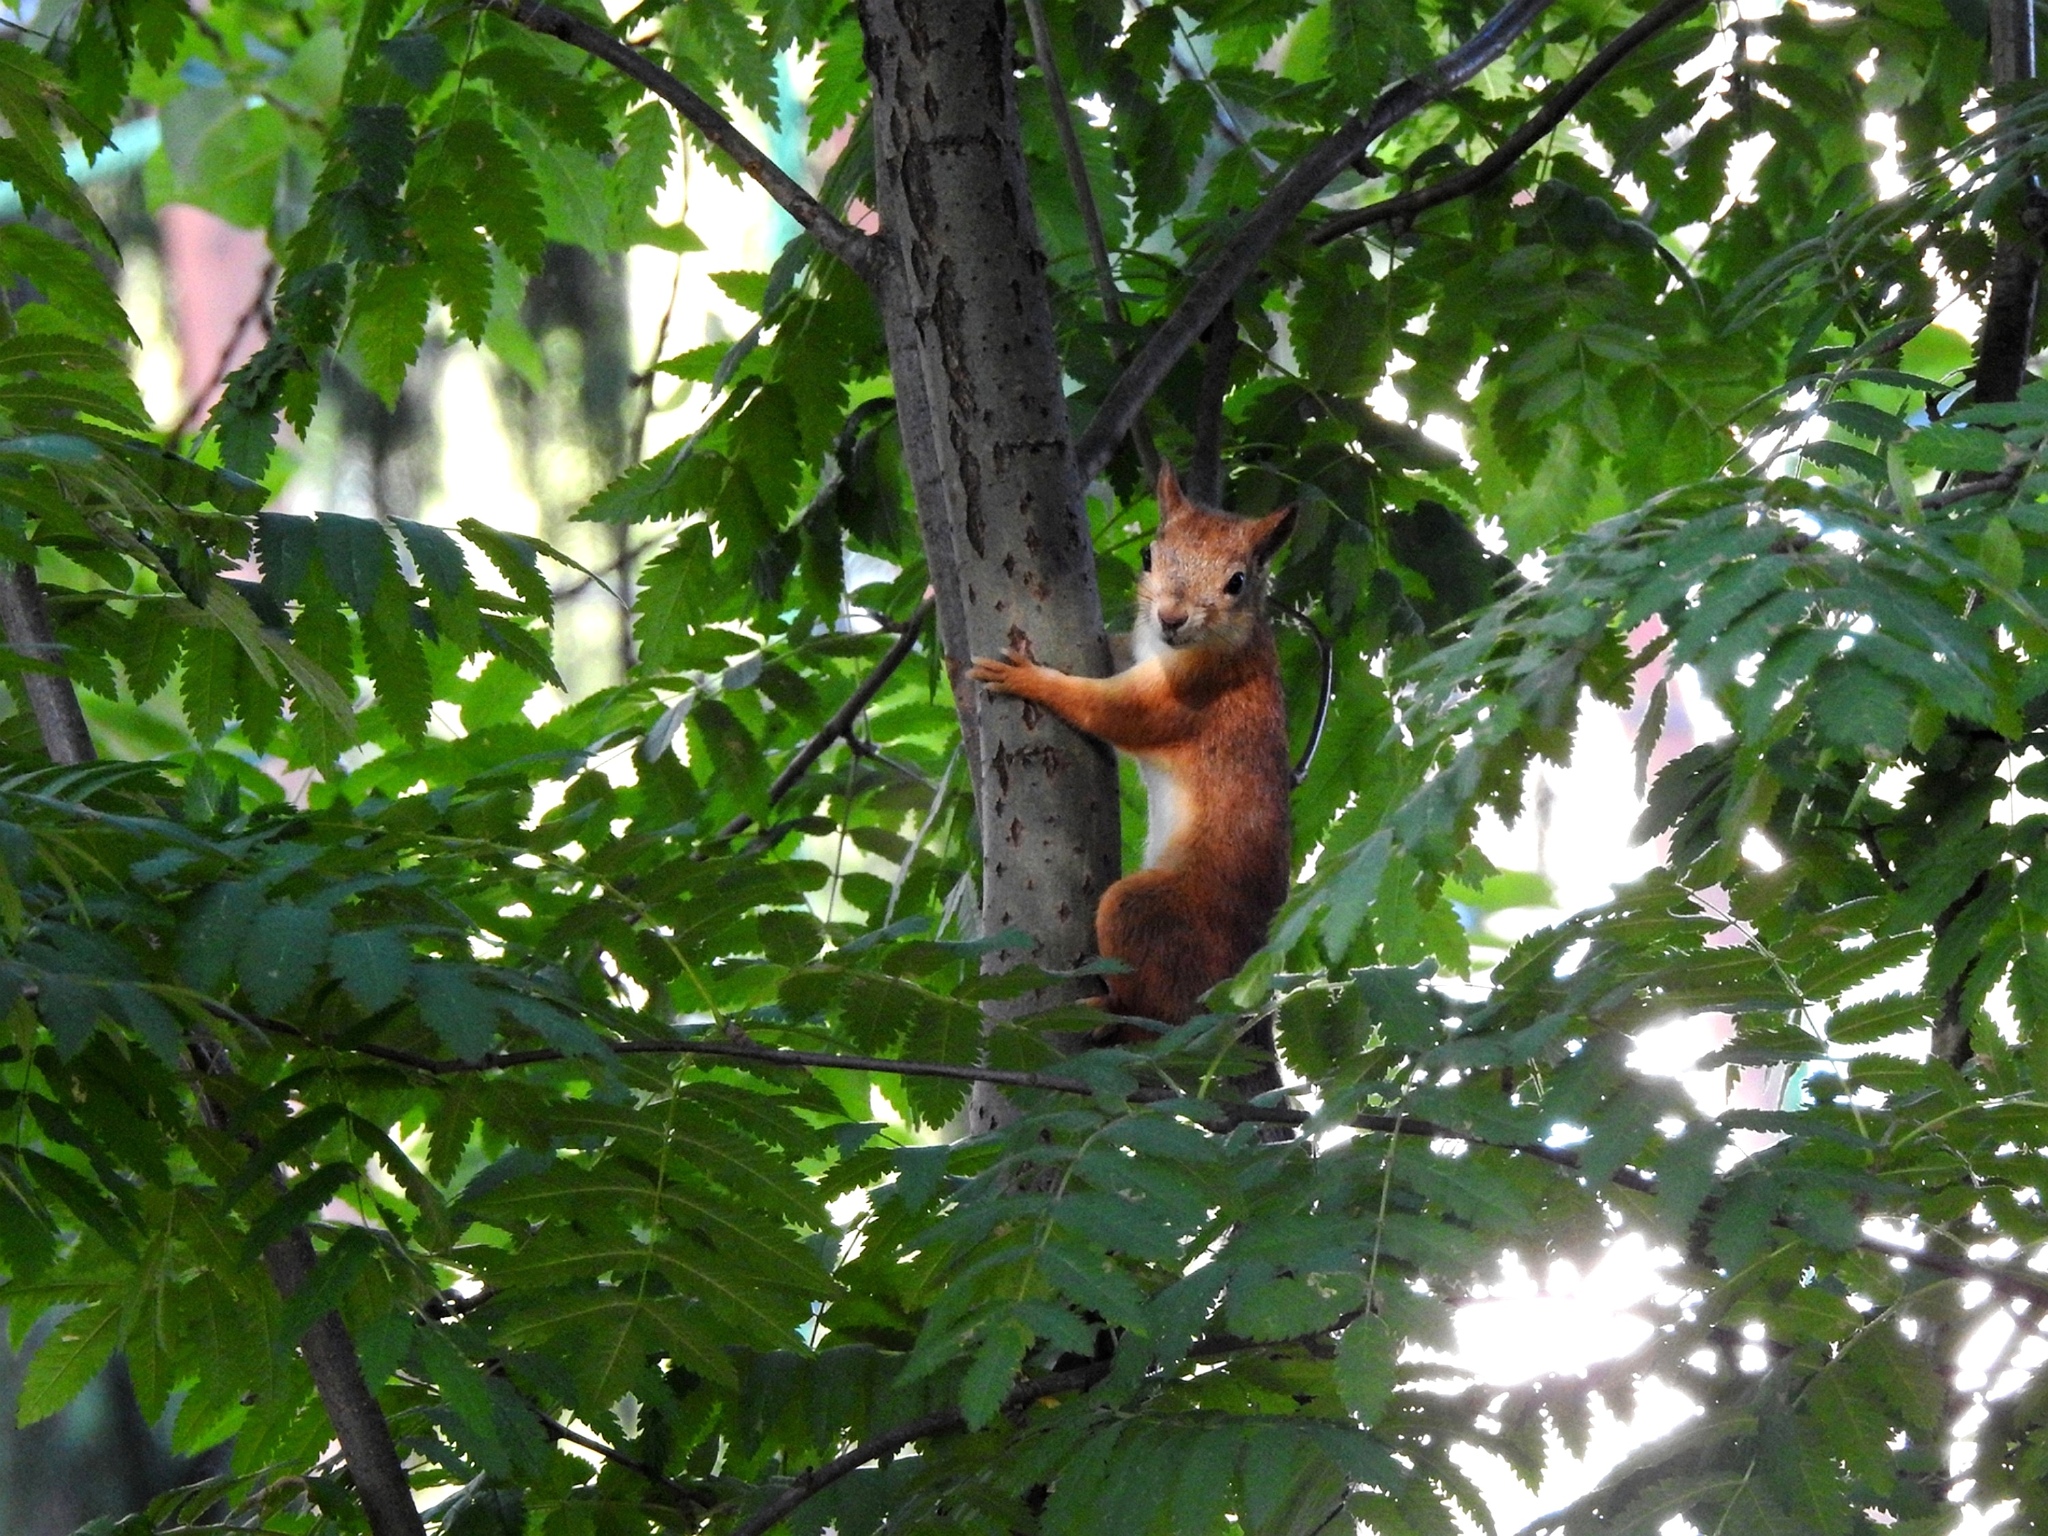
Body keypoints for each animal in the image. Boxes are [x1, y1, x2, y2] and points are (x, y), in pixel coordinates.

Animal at [966, 462, 1286, 1028]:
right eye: (1148, 556)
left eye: (1237, 582)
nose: (1172, 618)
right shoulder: (1137, 647)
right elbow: (1114, 651)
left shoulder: (1192, 693)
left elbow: (1111, 712)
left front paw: (1028, 678)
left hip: (1149, 910)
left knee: (1153, 1007)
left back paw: (1112, 1007)